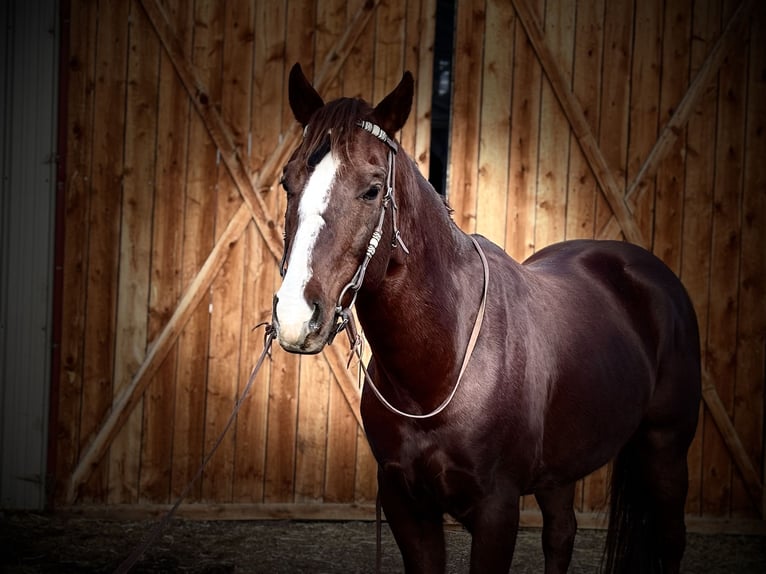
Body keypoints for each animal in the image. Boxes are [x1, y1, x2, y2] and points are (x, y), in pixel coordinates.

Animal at [272, 63, 702, 574]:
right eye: (287, 182)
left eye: (373, 189)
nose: (296, 315)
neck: (442, 366)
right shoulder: (406, 505)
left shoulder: (497, 510)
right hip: (561, 470)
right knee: (561, 535)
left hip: (666, 449)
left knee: (671, 538)